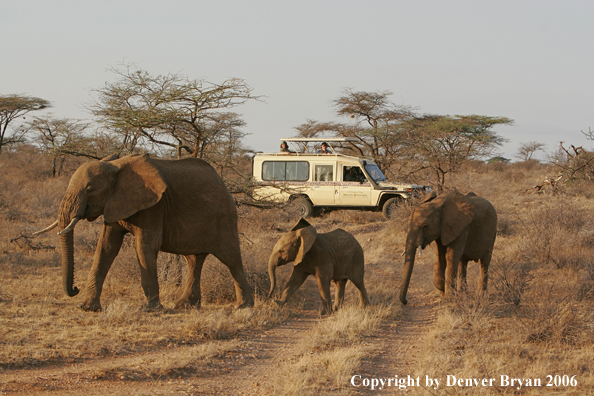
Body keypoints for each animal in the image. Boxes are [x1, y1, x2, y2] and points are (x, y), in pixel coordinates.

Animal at [34, 153, 252, 310]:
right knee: (193, 259)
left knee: (231, 258)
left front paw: (150, 309)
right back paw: (184, 305)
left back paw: (242, 306)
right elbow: (106, 247)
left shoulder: (153, 207)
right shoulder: (115, 203)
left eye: (89, 189)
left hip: (224, 216)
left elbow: (144, 246)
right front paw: (86, 307)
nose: (75, 288)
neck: (116, 166)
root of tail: (223, 183)